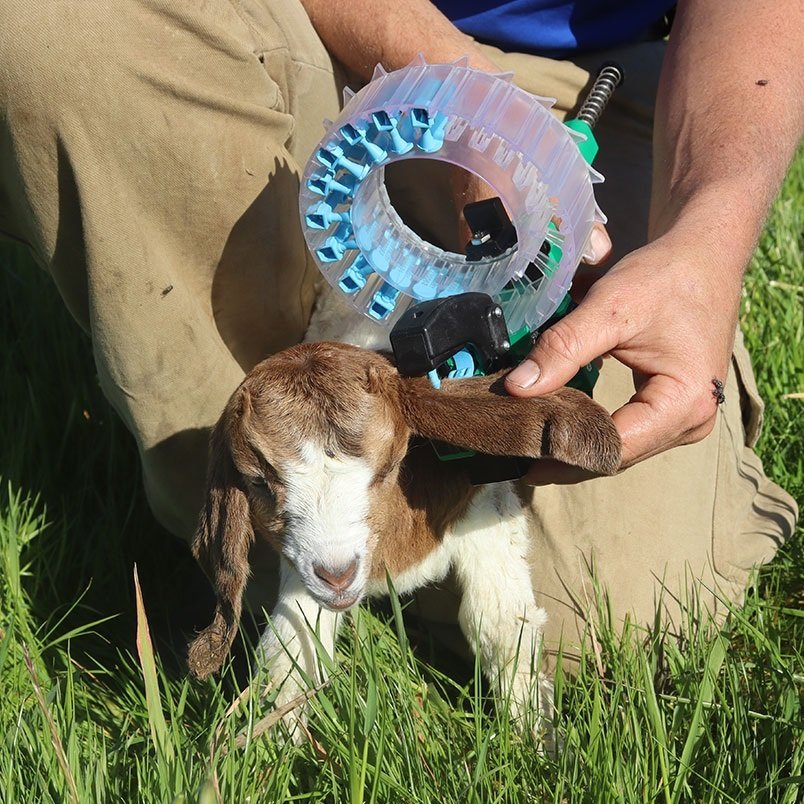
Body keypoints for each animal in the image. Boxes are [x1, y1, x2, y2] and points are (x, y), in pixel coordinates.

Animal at [187, 340, 621, 739]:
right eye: (258, 482)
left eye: (390, 466)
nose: (338, 575)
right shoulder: (302, 571)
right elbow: (291, 649)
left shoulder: (487, 512)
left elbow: (500, 625)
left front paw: (540, 743)